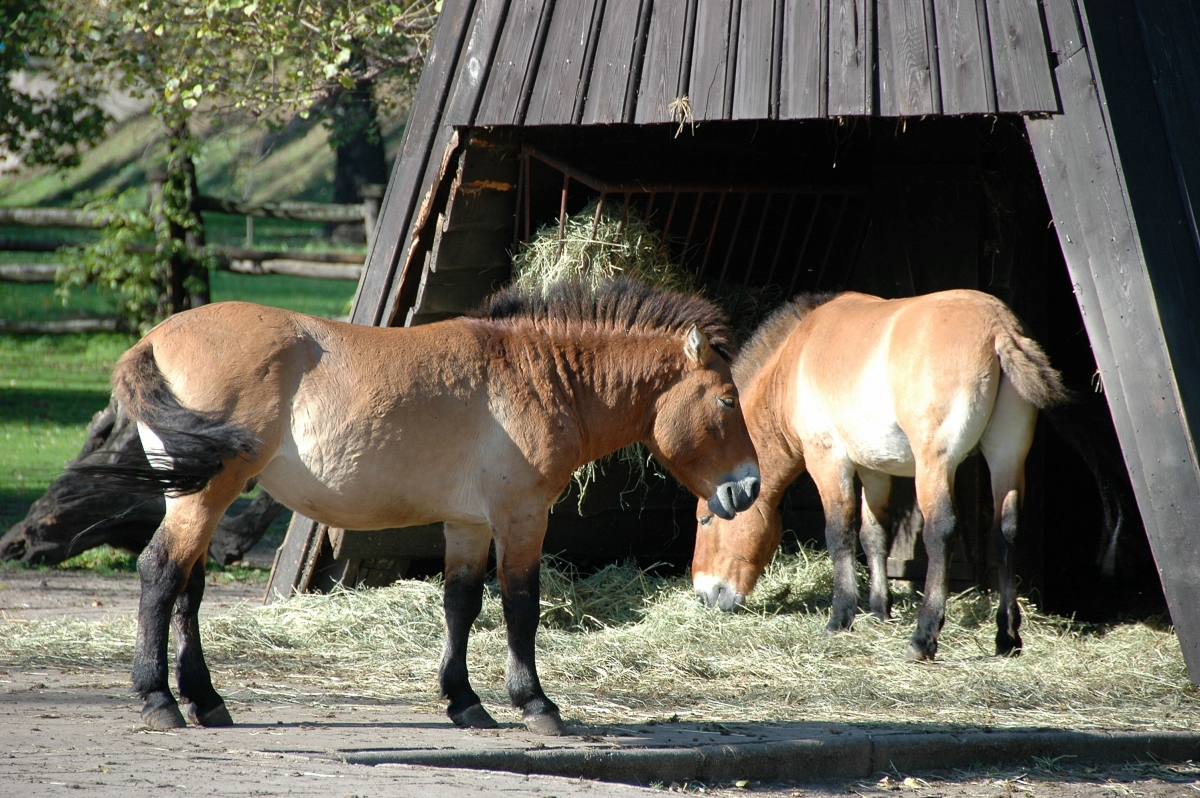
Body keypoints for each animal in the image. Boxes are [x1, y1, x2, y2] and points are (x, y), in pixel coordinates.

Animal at [79, 279, 760, 735]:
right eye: (728, 401)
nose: (748, 489)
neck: (536, 374)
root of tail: (154, 339)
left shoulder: (468, 522)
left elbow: (461, 603)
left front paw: (465, 702)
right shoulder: (521, 515)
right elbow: (521, 606)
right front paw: (536, 703)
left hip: (196, 491)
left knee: (188, 587)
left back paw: (204, 698)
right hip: (208, 491)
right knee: (161, 573)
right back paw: (159, 700)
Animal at [690, 290, 1067, 661]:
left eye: (706, 519)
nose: (703, 594)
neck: (794, 361)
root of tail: (998, 327)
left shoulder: (828, 462)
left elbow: (840, 534)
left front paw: (840, 618)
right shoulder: (873, 470)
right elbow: (874, 536)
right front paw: (879, 610)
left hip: (935, 464)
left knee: (940, 532)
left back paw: (923, 639)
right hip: (1007, 456)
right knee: (1006, 533)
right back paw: (1007, 637)